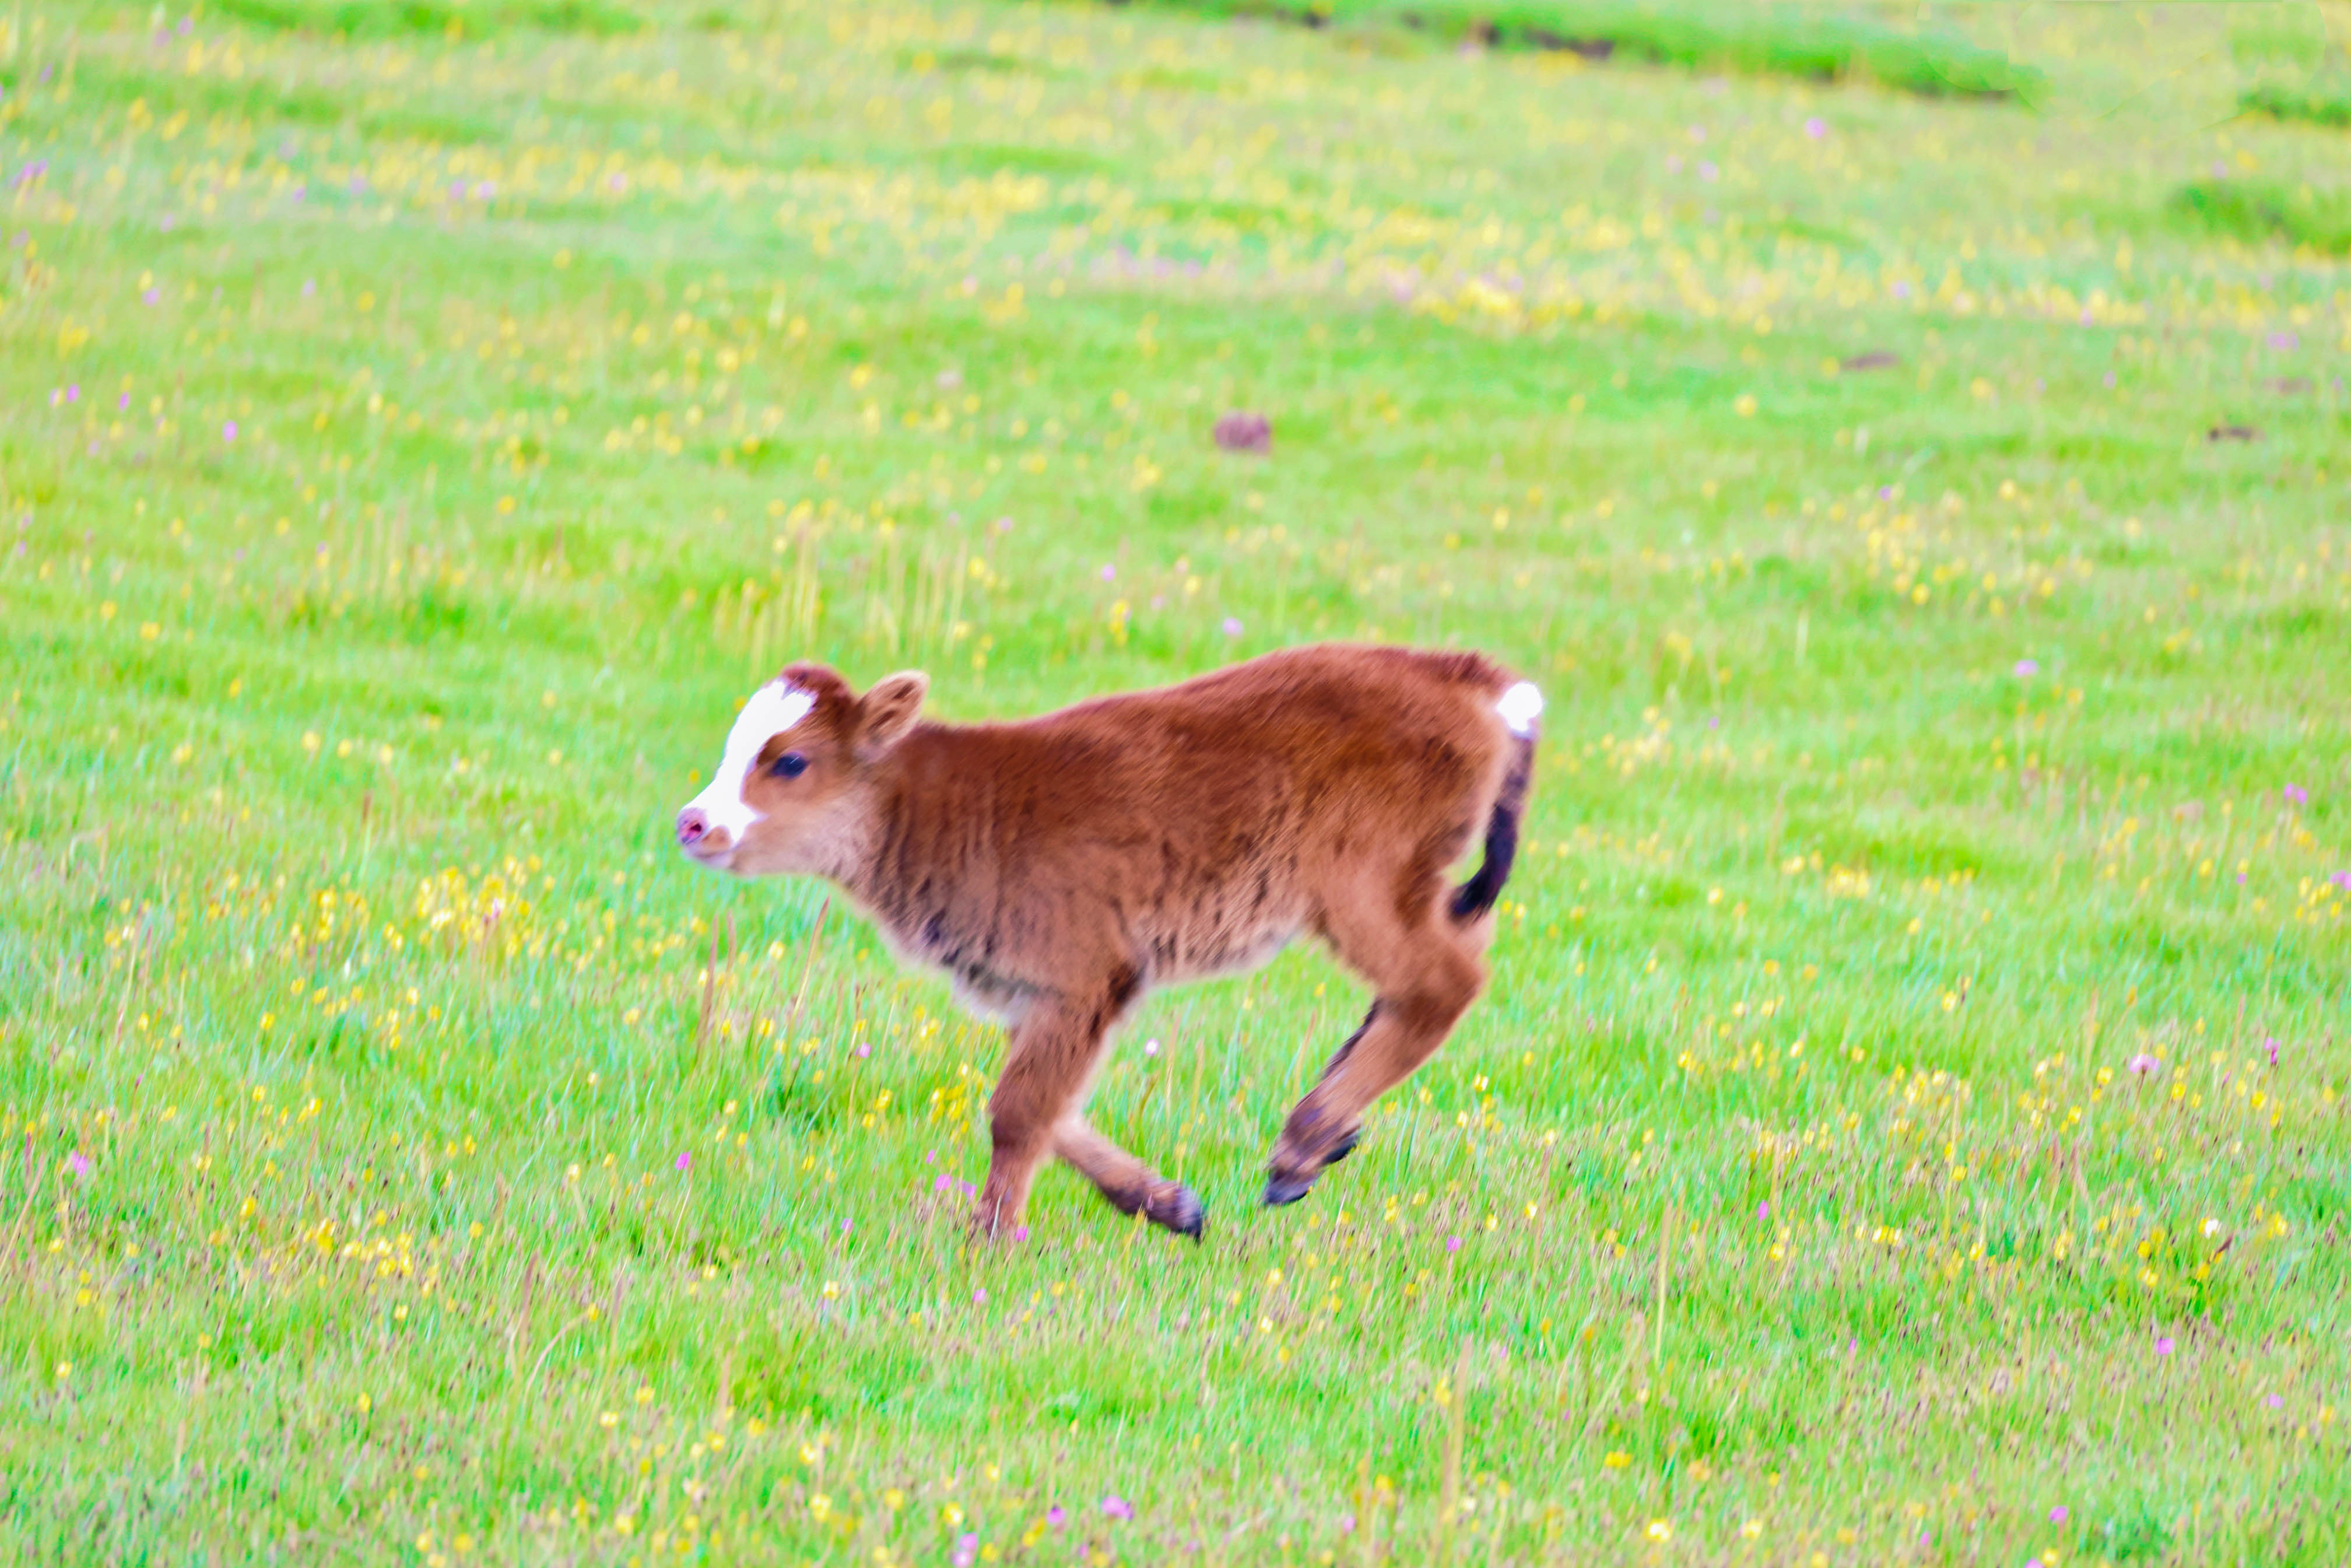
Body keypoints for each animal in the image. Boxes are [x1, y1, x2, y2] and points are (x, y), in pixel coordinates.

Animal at [677, 639, 1542, 1241]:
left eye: (791, 760)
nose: (693, 823)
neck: (941, 804)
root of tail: (1460, 673)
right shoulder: (1040, 997)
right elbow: (1052, 1112)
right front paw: (1171, 1205)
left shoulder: (1083, 977)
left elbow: (1018, 1110)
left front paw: (986, 1239)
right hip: (1415, 887)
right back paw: (1325, 1134)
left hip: (1358, 889)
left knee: (1444, 982)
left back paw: (1300, 1147)